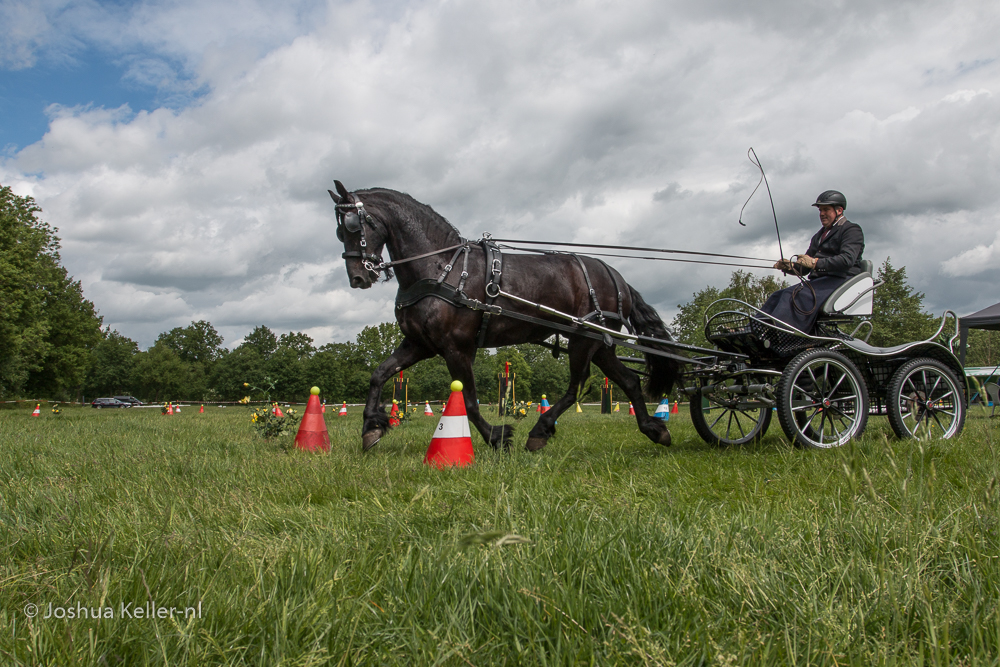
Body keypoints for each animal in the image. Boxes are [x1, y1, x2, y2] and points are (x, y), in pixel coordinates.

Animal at [328, 181, 680, 454]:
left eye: (353, 225)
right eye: (338, 231)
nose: (358, 277)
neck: (442, 268)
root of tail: (614, 276)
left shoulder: (458, 348)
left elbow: (469, 400)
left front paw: (497, 437)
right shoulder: (420, 344)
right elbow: (379, 374)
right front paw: (371, 428)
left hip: (583, 340)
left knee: (575, 387)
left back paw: (540, 431)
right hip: (599, 344)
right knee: (629, 380)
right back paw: (655, 429)